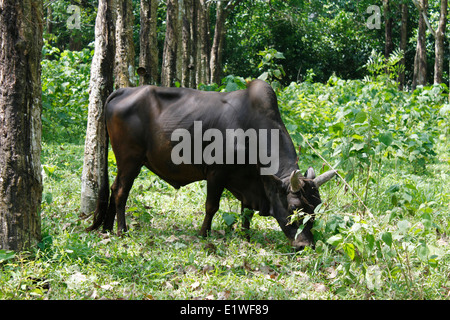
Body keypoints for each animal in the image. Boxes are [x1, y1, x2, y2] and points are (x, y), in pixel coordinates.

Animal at [87, 80, 334, 250]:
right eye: (294, 207)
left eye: (315, 208)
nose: (305, 245)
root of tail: (123, 90)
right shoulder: (216, 173)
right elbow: (211, 206)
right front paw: (204, 234)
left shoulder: (250, 182)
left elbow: (246, 213)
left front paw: (246, 237)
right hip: (130, 160)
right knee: (121, 191)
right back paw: (121, 230)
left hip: (125, 163)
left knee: (113, 188)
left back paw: (107, 228)